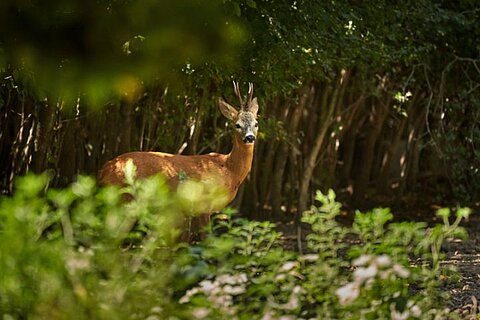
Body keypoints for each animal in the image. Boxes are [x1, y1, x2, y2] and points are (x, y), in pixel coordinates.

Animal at [98, 82, 258, 240]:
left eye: (256, 123)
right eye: (237, 124)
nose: (250, 137)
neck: (229, 170)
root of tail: (104, 169)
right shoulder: (203, 205)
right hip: (124, 199)